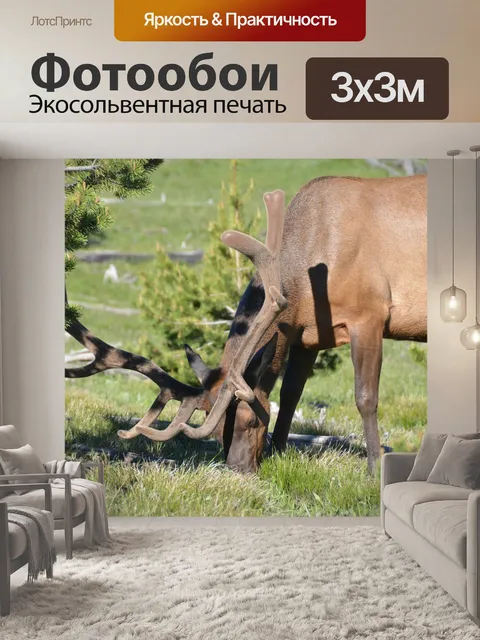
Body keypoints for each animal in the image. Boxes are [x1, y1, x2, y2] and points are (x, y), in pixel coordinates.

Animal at [66, 174, 427, 474]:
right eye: (217, 428)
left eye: (250, 419)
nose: (237, 470)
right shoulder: (306, 335)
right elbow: (291, 394)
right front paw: (279, 452)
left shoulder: (368, 314)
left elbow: (365, 397)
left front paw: (374, 468)